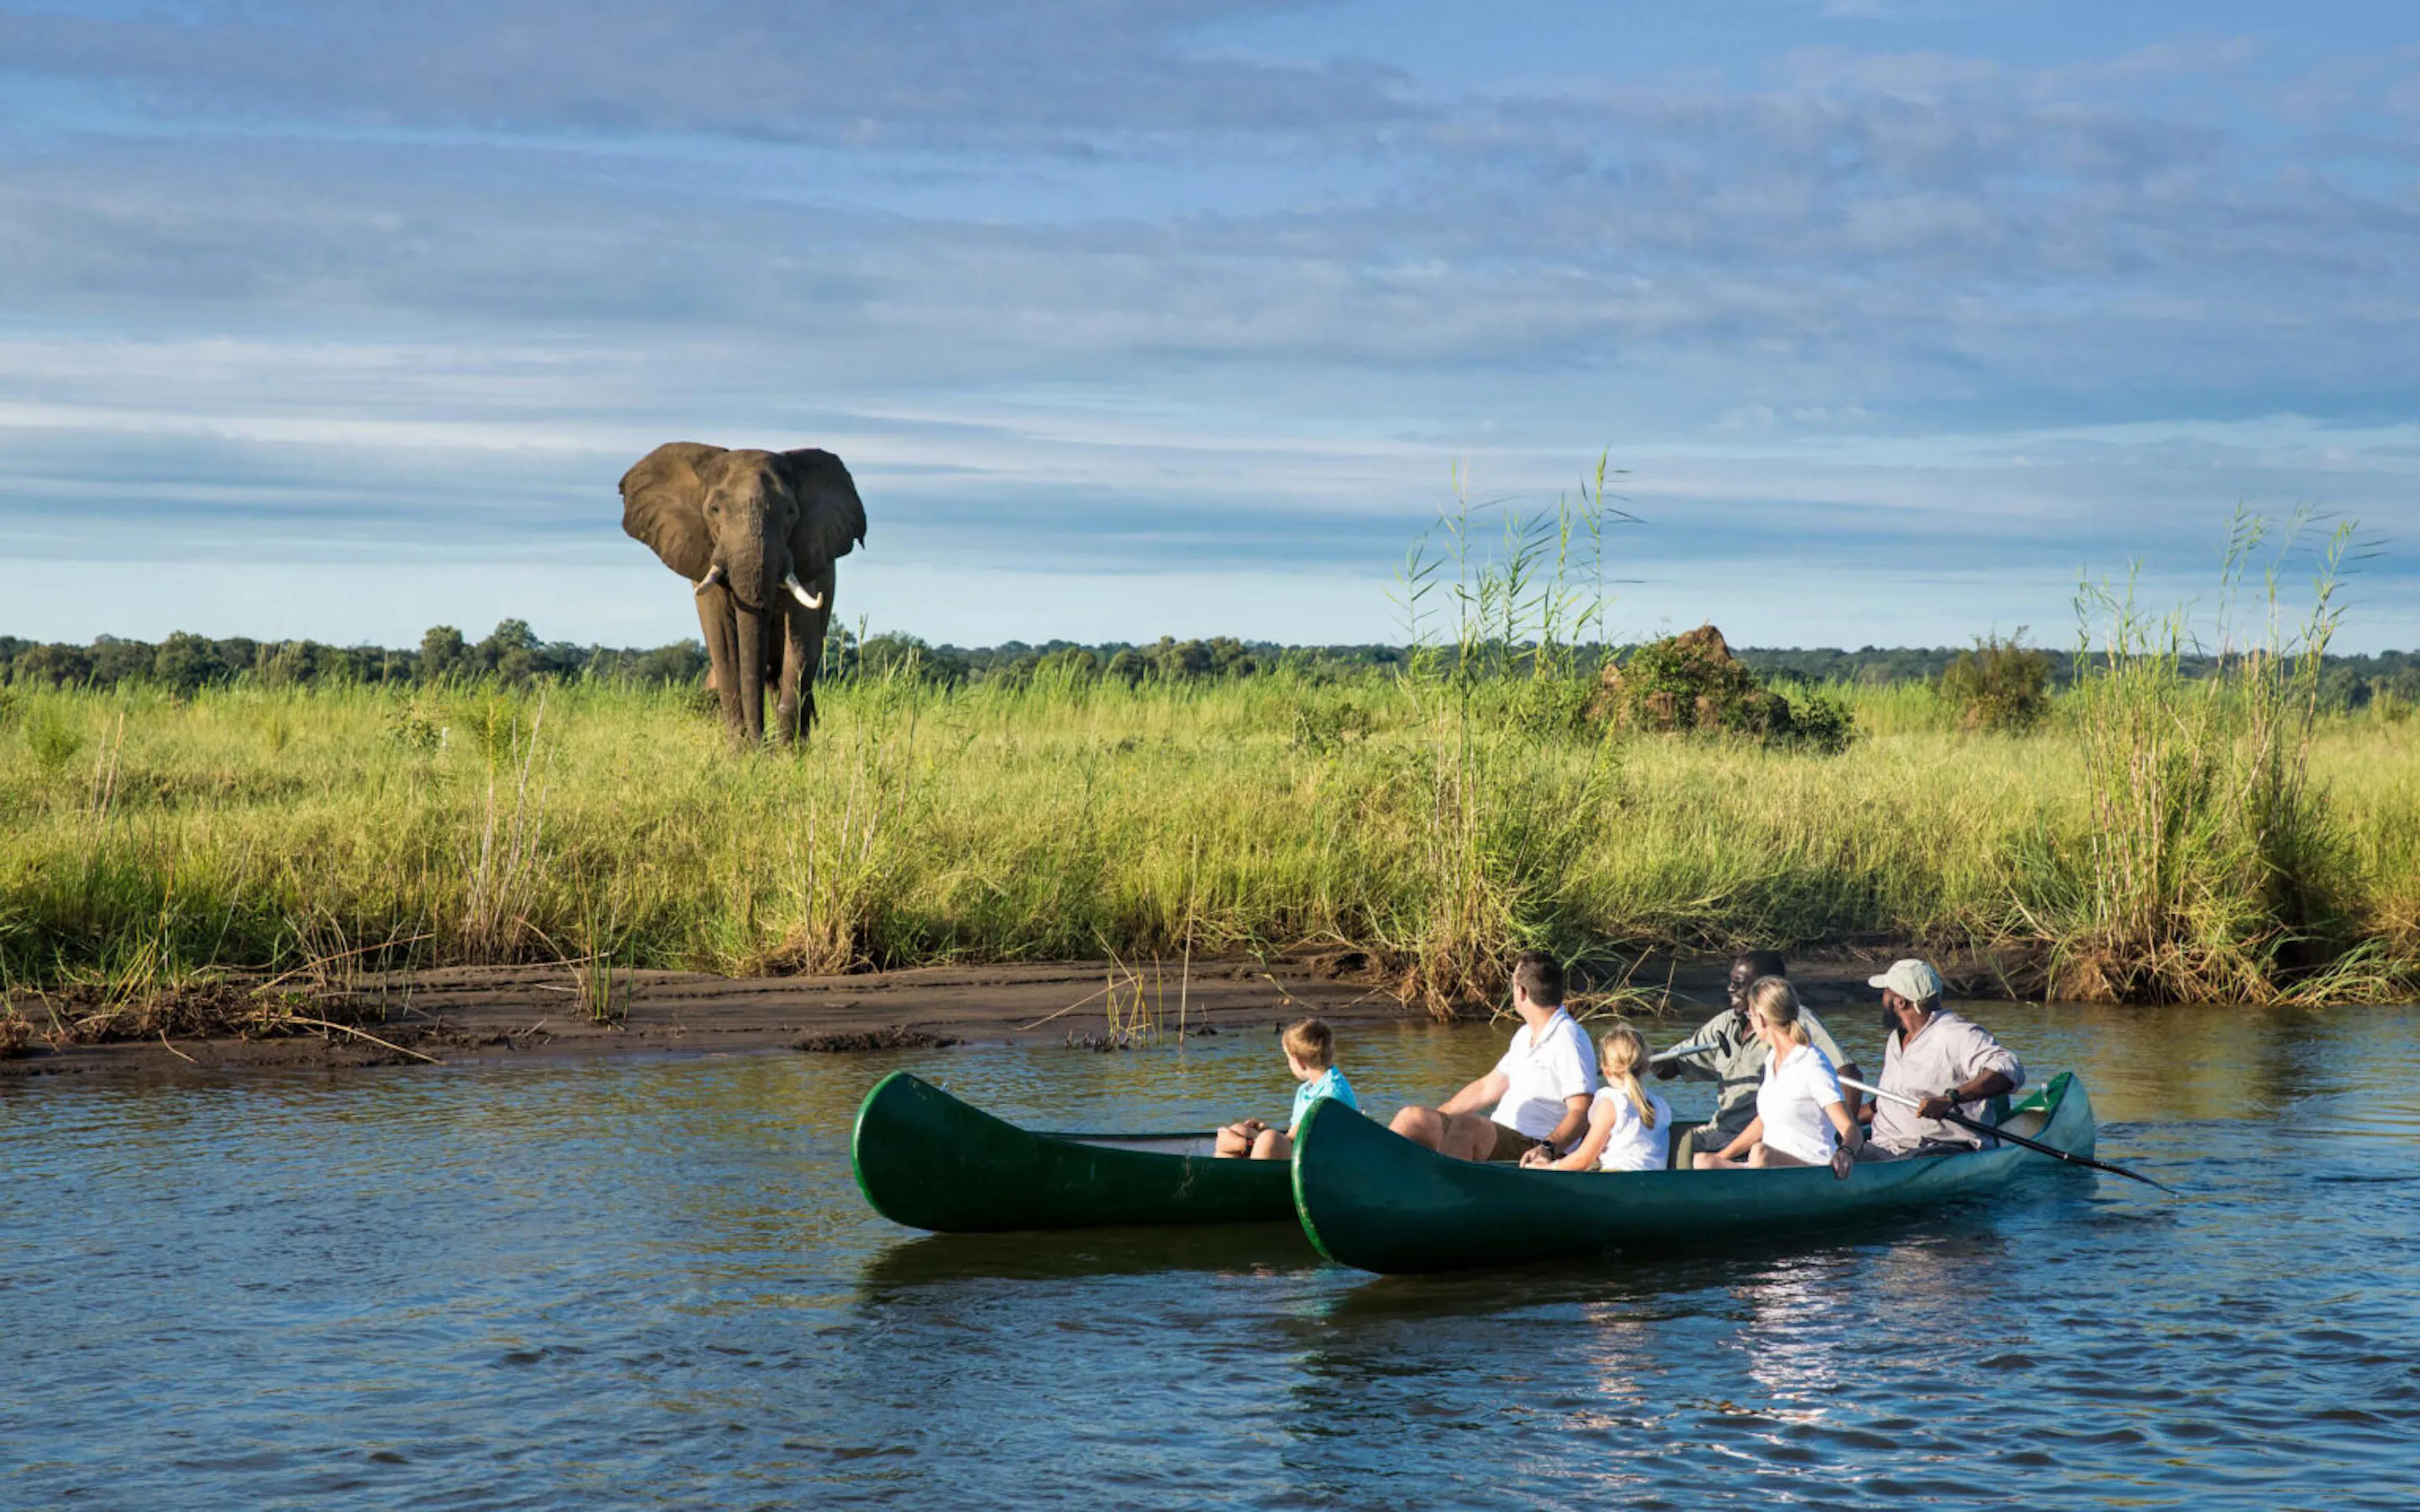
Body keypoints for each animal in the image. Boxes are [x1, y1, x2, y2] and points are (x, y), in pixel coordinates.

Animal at [620, 442, 867, 742]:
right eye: (714, 509)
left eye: (790, 511)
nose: (759, 741)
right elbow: (723, 644)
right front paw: (744, 750)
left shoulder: (807, 558)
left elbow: (799, 643)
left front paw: (785, 750)